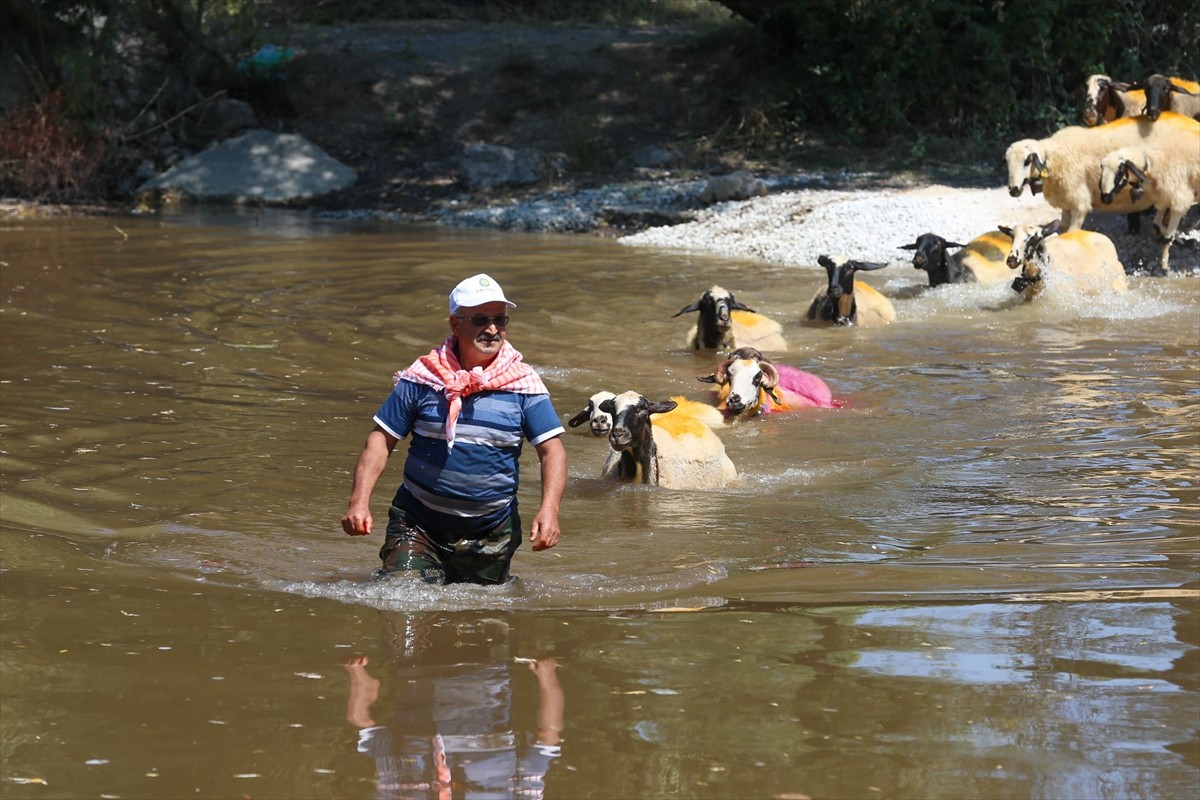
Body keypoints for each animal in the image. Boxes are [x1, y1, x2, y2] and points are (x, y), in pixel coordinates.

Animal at [1099, 143, 1200, 278]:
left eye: (1120, 172)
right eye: (1102, 171)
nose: (1106, 198)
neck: (1153, 163)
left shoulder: (1179, 201)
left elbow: (1167, 238)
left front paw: (1164, 269)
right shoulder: (1164, 199)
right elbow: (1157, 225)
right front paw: (1186, 242)